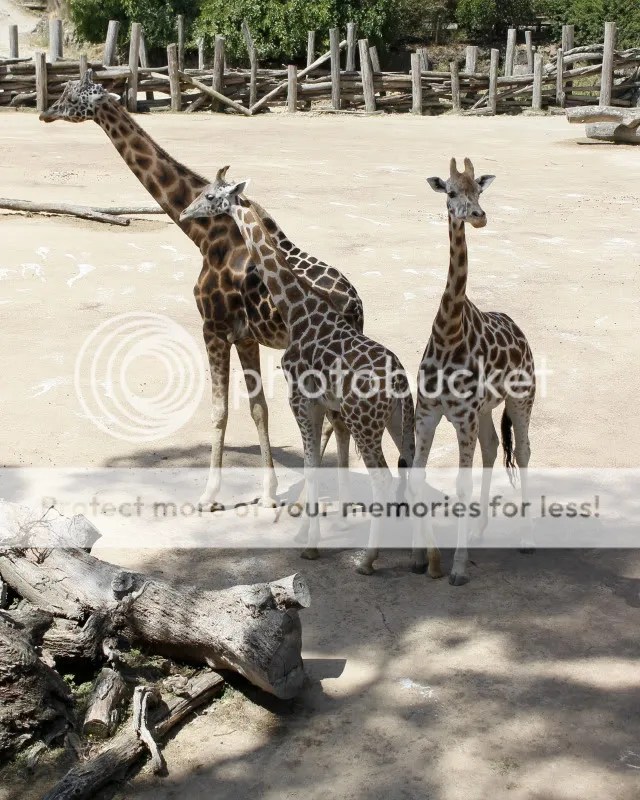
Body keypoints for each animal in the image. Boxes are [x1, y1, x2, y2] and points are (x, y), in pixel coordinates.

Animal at [39, 72, 363, 508]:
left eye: (73, 96)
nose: (45, 112)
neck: (205, 237)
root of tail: (356, 305)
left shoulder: (213, 327)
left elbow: (219, 410)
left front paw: (210, 495)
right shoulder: (245, 336)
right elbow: (258, 408)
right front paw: (268, 492)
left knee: (334, 417)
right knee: (334, 418)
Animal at [180, 179, 416, 573]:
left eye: (211, 195)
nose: (186, 212)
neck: (299, 309)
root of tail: (398, 383)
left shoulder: (301, 398)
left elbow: (310, 462)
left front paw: (310, 545)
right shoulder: (320, 402)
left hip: (366, 424)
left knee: (383, 481)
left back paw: (367, 560)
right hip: (401, 419)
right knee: (412, 470)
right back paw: (425, 560)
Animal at [410, 157, 535, 586]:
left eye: (479, 191)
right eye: (450, 191)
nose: (479, 217)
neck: (448, 333)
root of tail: (520, 331)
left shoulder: (461, 418)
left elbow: (460, 487)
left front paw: (458, 568)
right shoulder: (428, 415)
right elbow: (418, 478)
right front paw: (421, 559)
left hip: (521, 400)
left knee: (524, 451)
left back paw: (527, 539)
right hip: (483, 411)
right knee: (493, 447)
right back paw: (480, 530)